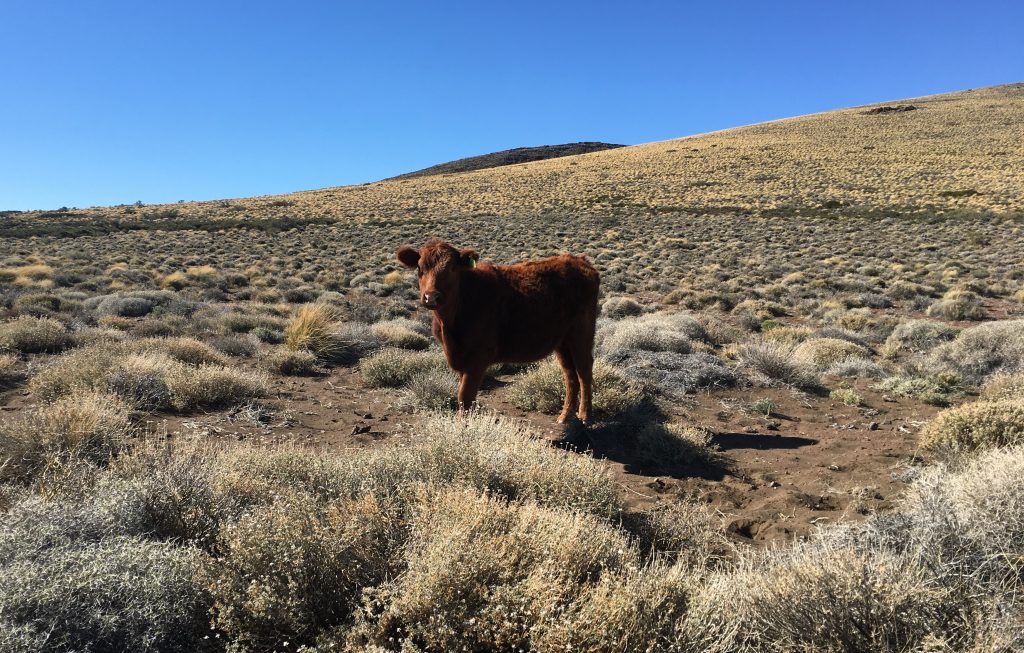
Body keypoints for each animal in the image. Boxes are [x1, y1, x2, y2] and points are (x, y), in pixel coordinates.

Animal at [393, 240, 598, 425]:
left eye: (452, 268)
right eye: (420, 268)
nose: (431, 297)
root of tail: (580, 261)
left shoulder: (478, 358)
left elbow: (465, 397)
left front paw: (463, 428)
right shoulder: (461, 358)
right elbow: (463, 395)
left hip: (582, 333)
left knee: (584, 370)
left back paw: (585, 415)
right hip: (562, 341)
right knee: (570, 374)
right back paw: (564, 416)